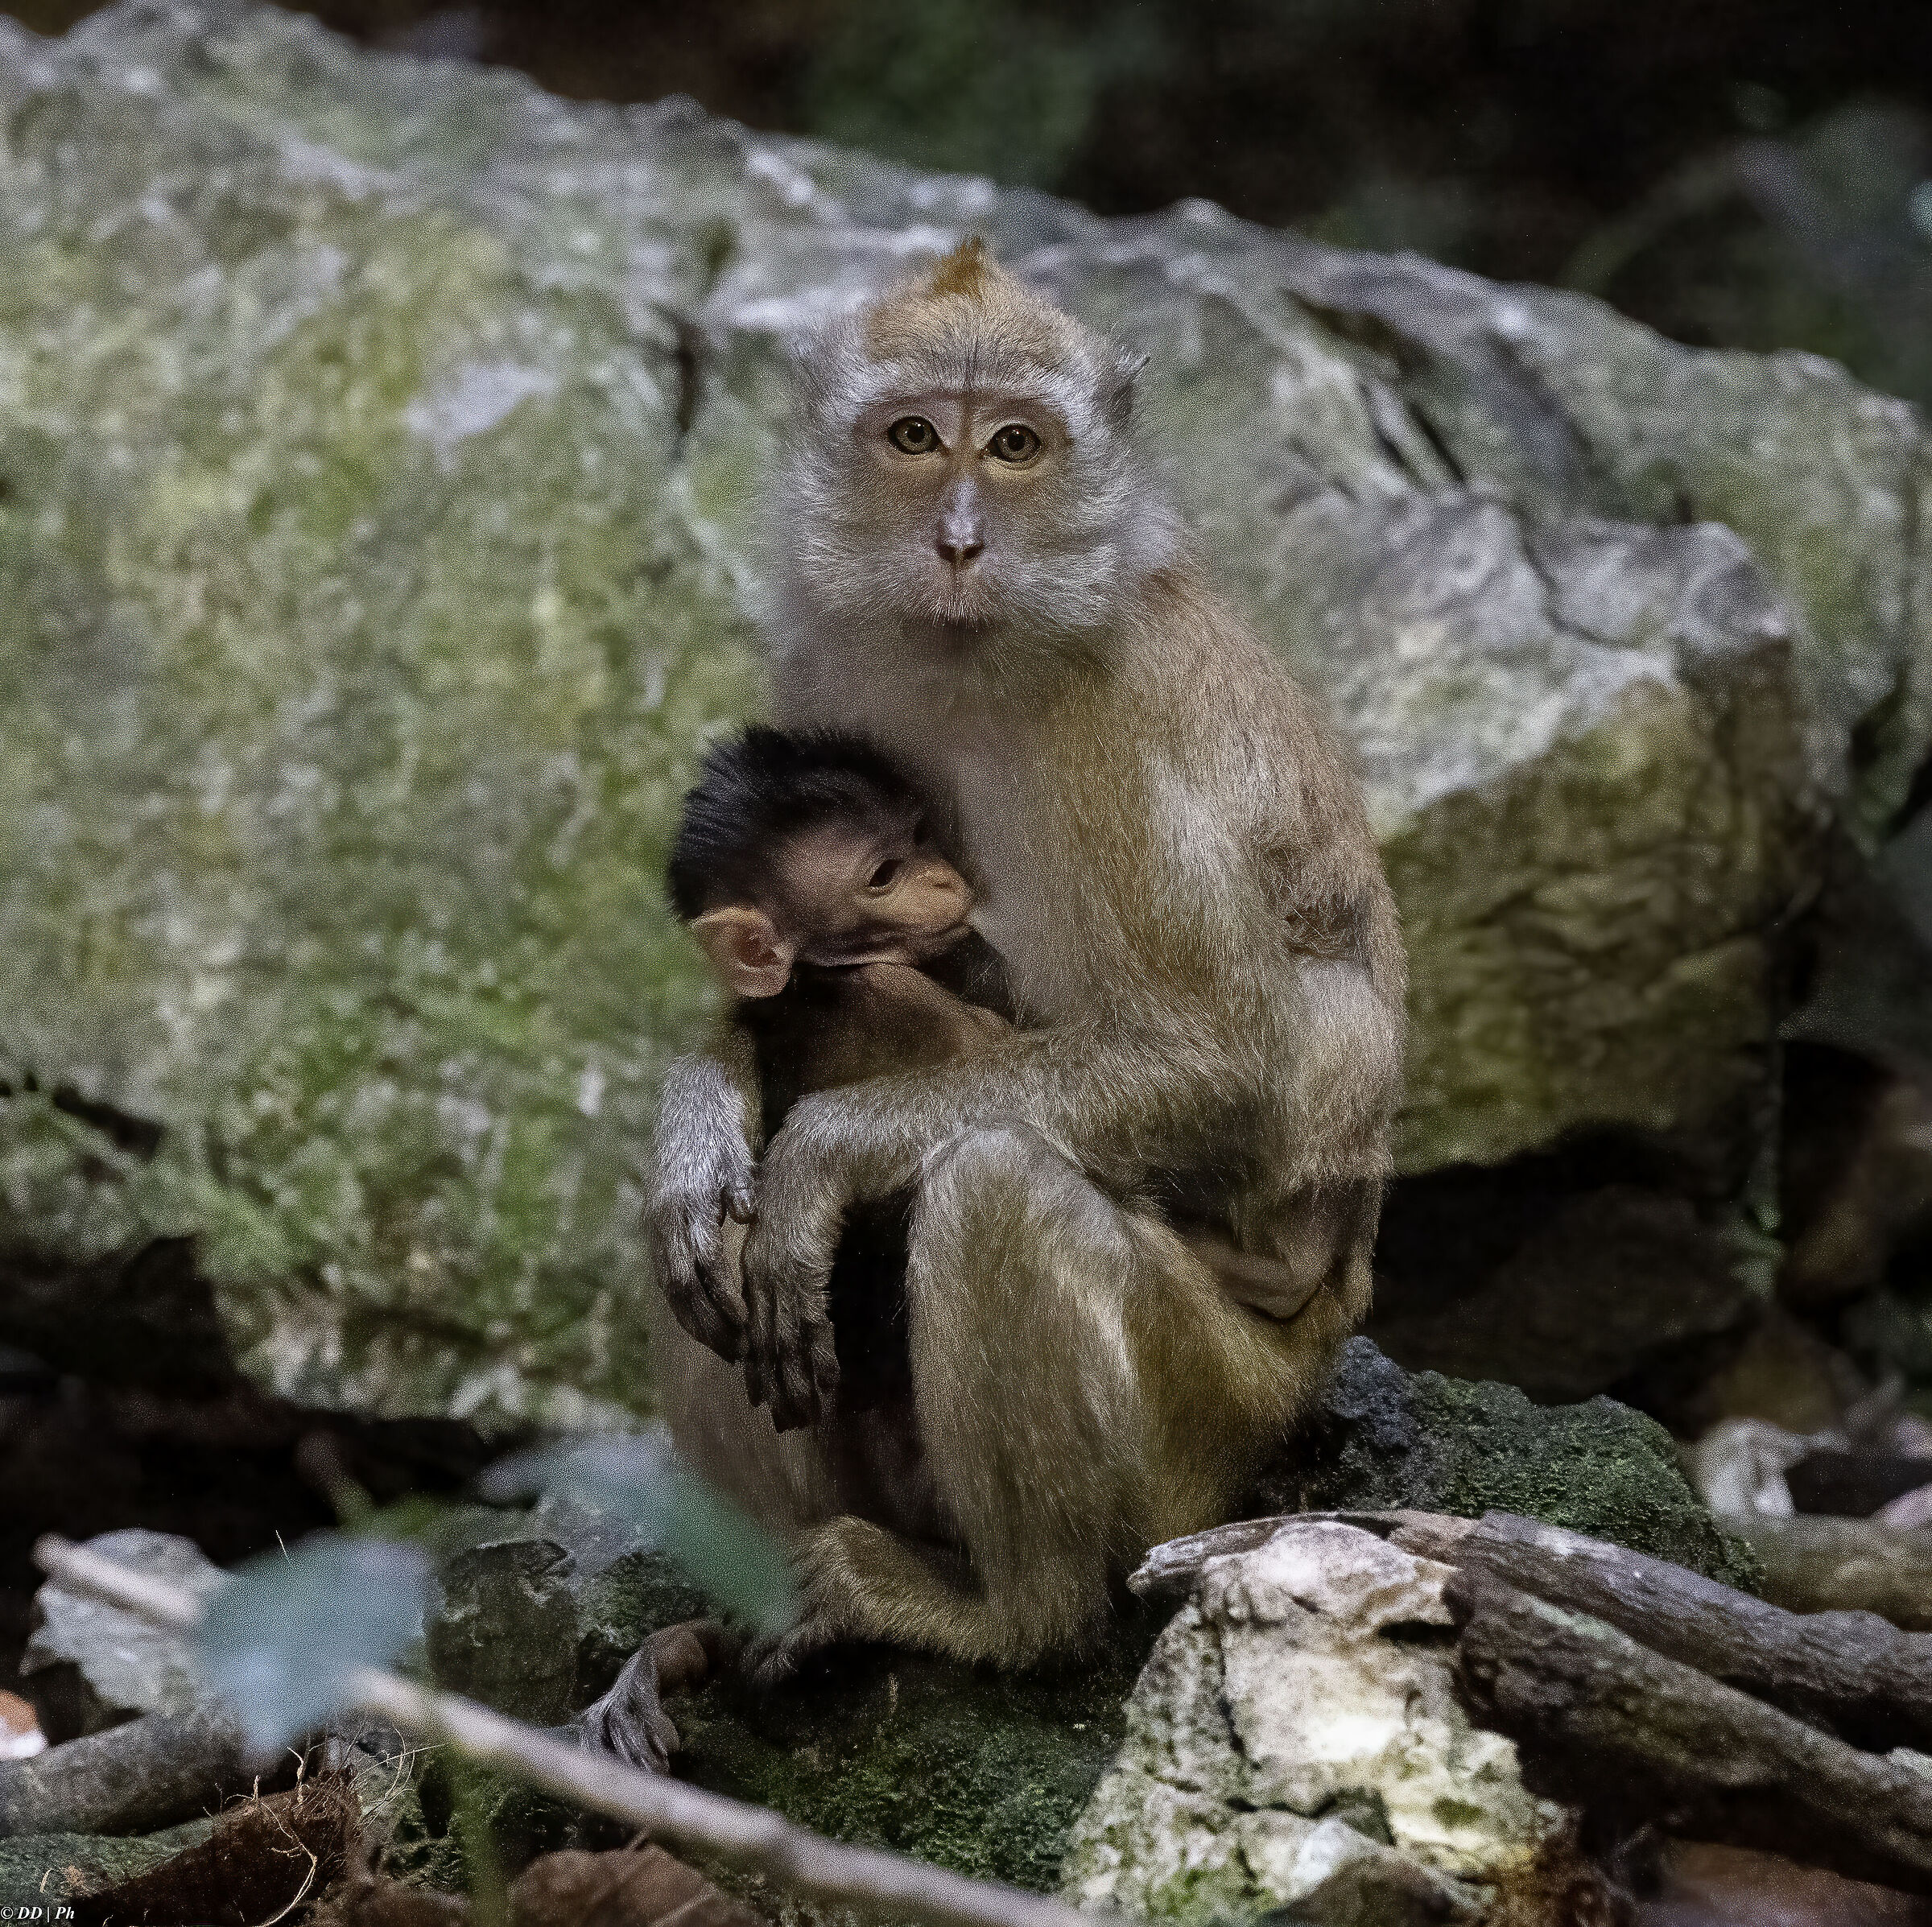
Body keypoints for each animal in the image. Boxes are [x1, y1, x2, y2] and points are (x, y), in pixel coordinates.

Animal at [641, 235, 1406, 1682]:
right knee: (701, 1257)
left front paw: (819, 1155)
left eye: (1014, 445)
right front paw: (699, 1117)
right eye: (913, 436)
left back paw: (1007, 1611)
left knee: (995, 1181)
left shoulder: (1114, 737)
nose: (957, 540)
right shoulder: (826, 666)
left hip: (1210, 1426)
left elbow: (1220, 1066)